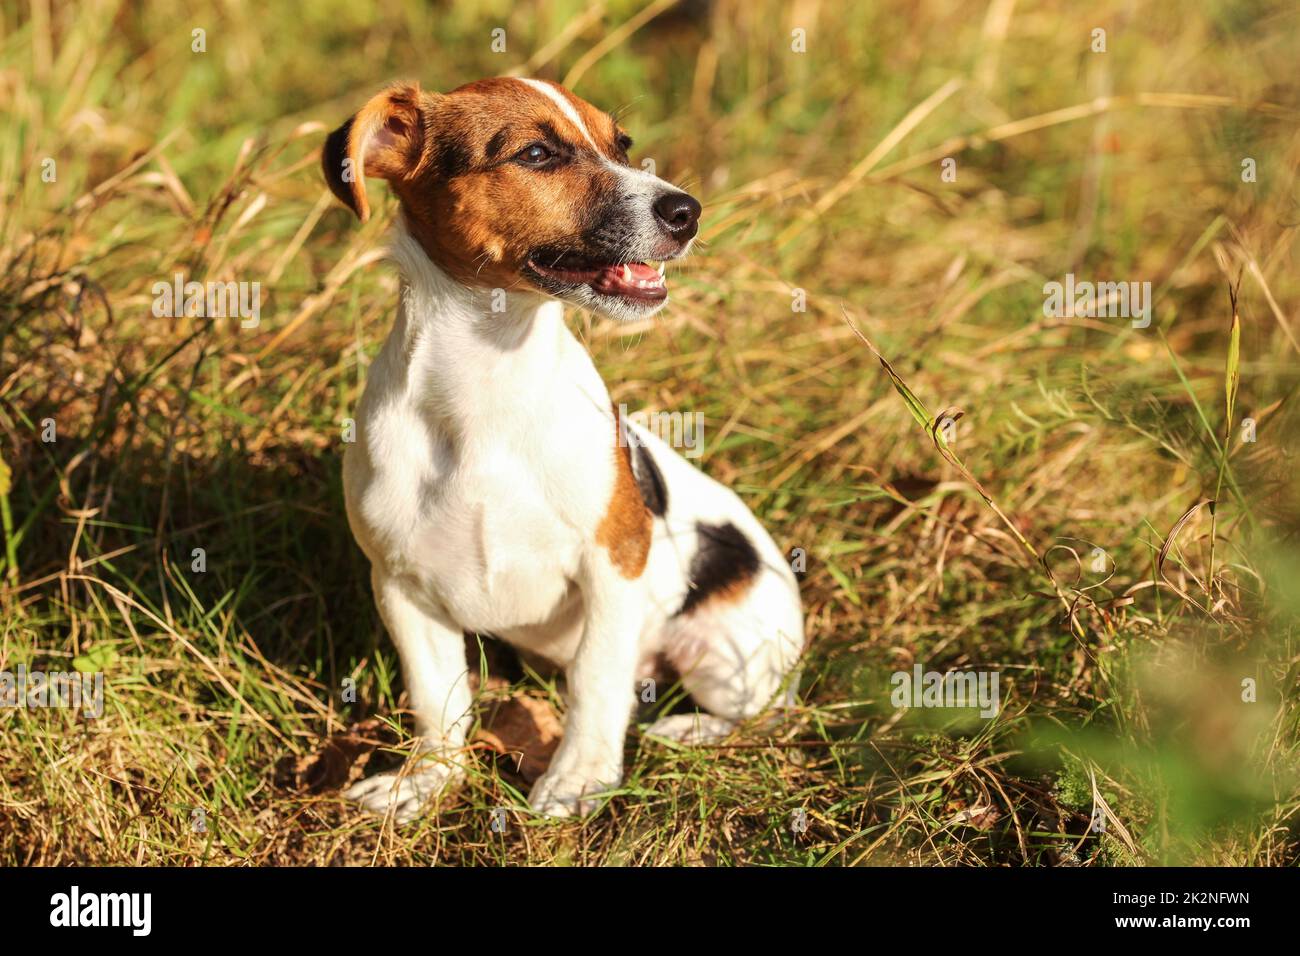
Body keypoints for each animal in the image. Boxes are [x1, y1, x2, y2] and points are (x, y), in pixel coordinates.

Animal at [319, 76, 800, 822]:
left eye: (622, 144)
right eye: (537, 154)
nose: (687, 211)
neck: (487, 385)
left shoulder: (614, 564)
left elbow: (596, 685)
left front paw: (577, 781)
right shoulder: (401, 586)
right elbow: (438, 702)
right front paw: (426, 782)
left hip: (728, 653)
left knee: (762, 713)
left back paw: (688, 729)